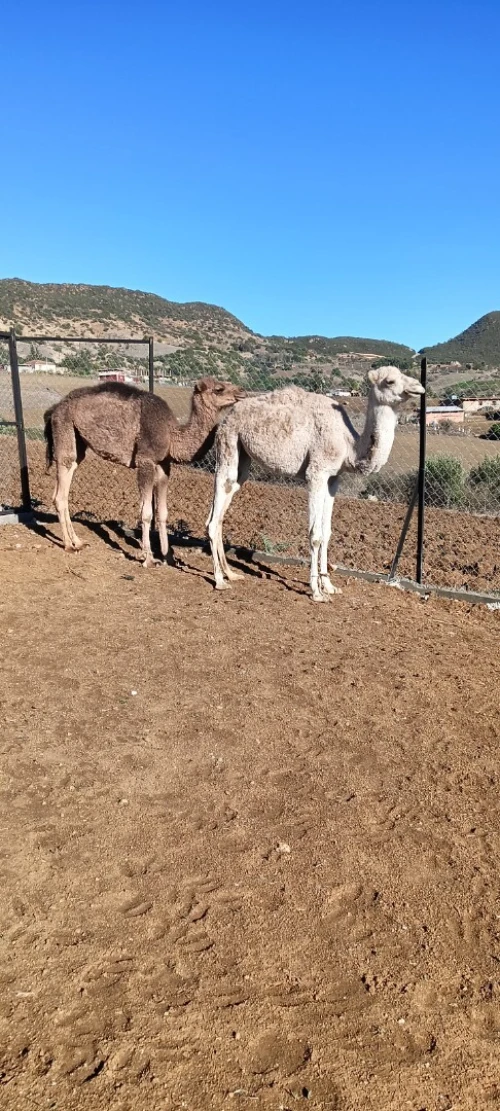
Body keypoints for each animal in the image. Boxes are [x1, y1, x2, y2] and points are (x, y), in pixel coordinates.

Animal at [44, 377, 245, 565]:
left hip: (77, 441)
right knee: (61, 488)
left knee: (67, 479)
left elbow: (162, 513)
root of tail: (54, 408)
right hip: (64, 426)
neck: (171, 435)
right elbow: (146, 513)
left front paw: (168, 557)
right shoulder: (145, 461)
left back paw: (78, 541)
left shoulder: (164, 465)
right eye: (219, 389)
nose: (242, 391)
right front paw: (148, 558)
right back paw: (69, 545)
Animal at [206, 366, 424, 601]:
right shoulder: (316, 474)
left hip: (243, 458)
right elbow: (315, 535)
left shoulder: (333, 479)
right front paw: (316, 592)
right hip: (227, 444)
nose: (419, 387)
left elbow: (327, 532)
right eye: (390, 381)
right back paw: (219, 581)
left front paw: (329, 585)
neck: (349, 446)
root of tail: (227, 416)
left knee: (221, 507)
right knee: (215, 511)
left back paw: (231, 574)